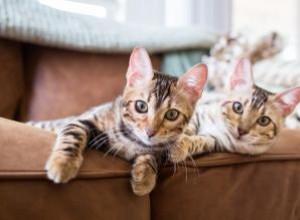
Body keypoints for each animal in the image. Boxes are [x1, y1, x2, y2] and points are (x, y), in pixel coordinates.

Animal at [31, 47, 207, 195]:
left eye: (172, 114)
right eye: (141, 106)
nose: (150, 132)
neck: (132, 141)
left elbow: (151, 156)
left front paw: (144, 176)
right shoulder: (84, 120)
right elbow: (73, 134)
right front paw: (62, 164)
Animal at [169, 58, 300, 163]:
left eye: (264, 121)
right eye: (238, 107)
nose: (242, 131)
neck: (221, 127)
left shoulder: (213, 140)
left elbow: (198, 141)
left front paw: (179, 148)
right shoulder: (199, 112)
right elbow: (189, 125)